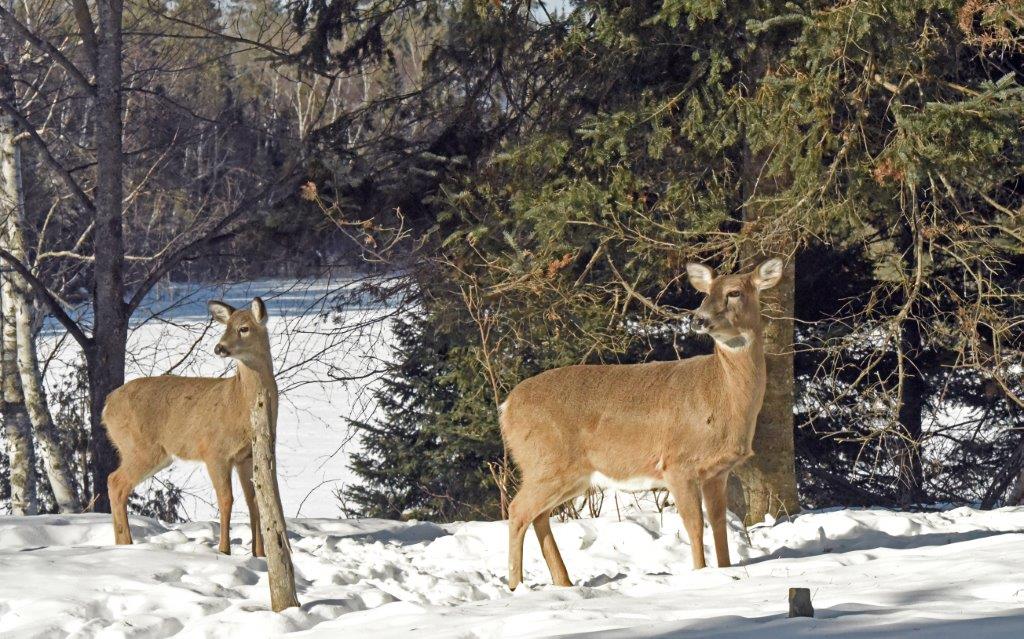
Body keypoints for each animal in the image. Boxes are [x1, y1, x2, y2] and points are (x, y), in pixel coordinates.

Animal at [103, 297, 277, 557]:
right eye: (225, 327)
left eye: (244, 328)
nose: (219, 348)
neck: (240, 403)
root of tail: (107, 405)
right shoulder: (214, 451)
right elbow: (226, 499)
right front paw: (224, 550)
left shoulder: (246, 456)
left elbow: (253, 500)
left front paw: (260, 554)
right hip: (141, 447)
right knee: (116, 482)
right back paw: (127, 544)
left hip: (154, 453)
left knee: (115, 483)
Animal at [499, 258, 784, 590]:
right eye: (706, 293)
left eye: (734, 292)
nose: (698, 319)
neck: (722, 395)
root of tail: (506, 407)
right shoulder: (677, 463)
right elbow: (694, 524)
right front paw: (700, 573)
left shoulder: (717, 471)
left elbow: (718, 524)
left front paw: (725, 571)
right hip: (546, 462)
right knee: (518, 510)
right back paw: (516, 586)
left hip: (567, 473)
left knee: (539, 516)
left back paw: (564, 582)